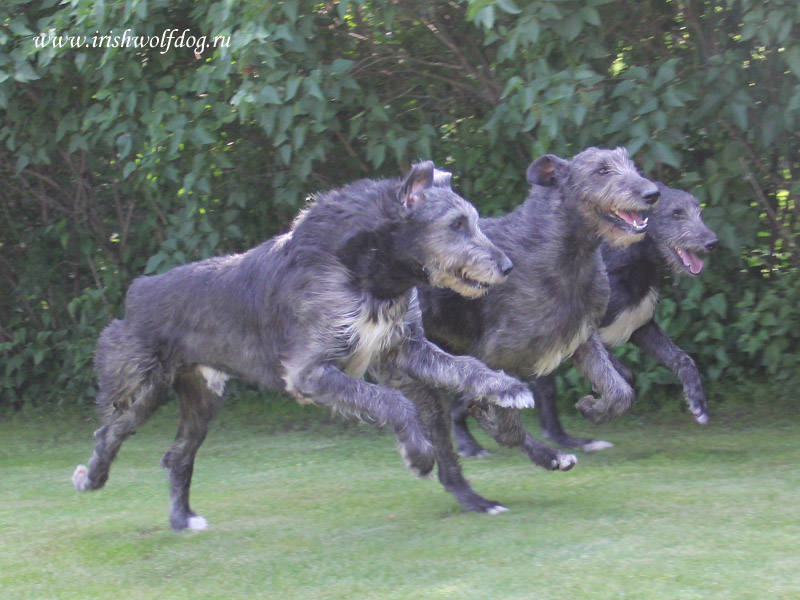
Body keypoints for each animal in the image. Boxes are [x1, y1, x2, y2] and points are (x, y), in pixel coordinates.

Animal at [70, 161, 532, 528]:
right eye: (456, 224)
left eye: (474, 220)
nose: (508, 267)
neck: (368, 269)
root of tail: (136, 292)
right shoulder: (309, 372)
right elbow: (390, 402)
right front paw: (418, 455)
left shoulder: (404, 348)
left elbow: (463, 366)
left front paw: (506, 387)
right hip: (139, 387)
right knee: (109, 432)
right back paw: (91, 478)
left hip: (203, 397)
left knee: (178, 454)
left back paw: (182, 519)